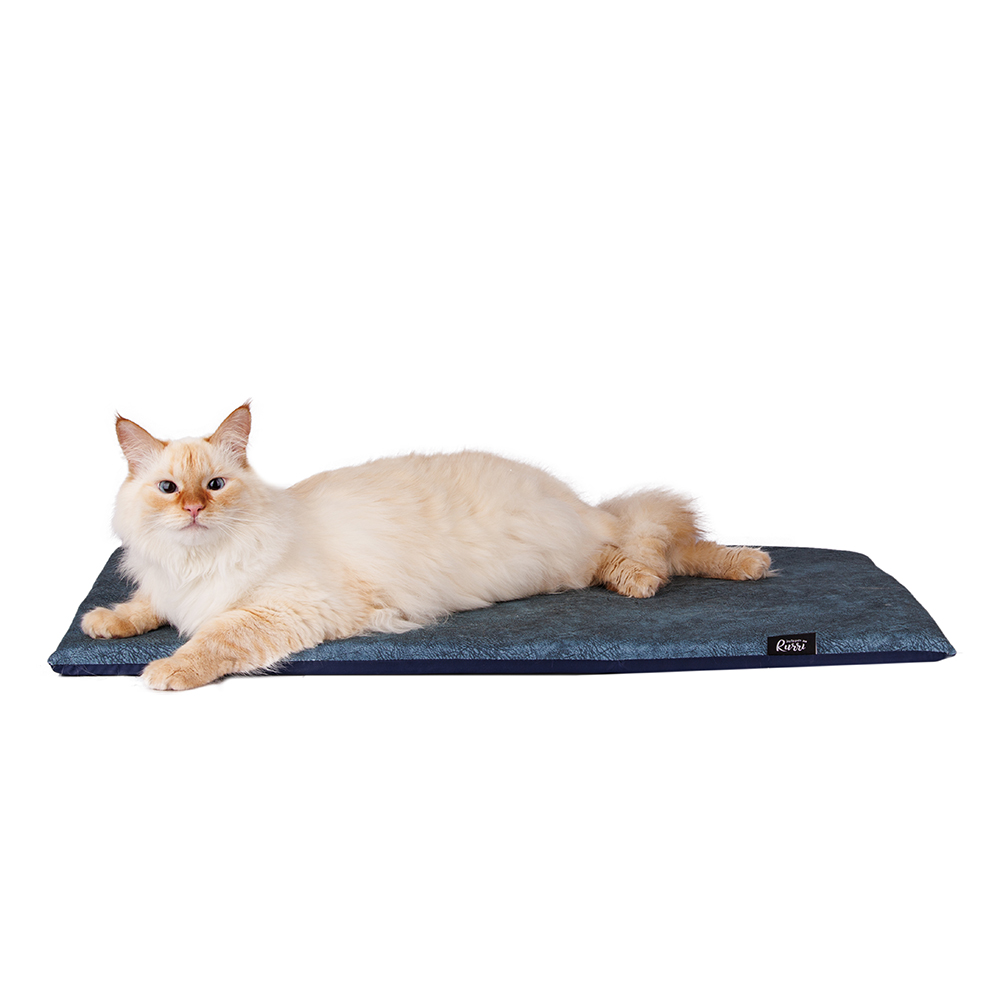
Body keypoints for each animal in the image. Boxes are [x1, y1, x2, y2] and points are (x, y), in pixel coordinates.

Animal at [82, 404, 772, 689]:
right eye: (169, 489)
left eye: (215, 486)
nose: (194, 510)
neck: (197, 562)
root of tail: (573, 500)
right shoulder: (171, 589)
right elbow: (146, 608)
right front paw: (103, 622)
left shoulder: (279, 608)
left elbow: (213, 640)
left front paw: (165, 671)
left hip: (565, 559)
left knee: (648, 546)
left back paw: (702, 572)